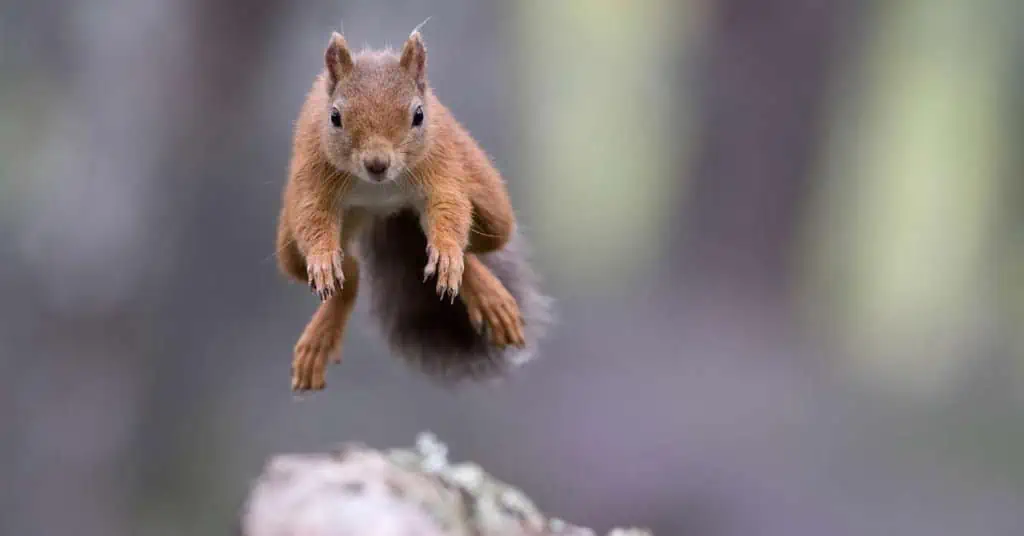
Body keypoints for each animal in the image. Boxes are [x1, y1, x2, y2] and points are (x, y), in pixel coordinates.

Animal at [275, 28, 551, 392]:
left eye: (418, 115)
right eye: (334, 117)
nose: (377, 163)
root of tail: (384, 211)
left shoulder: (438, 164)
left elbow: (450, 205)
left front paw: (447, 253)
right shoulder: (314, 172)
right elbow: (313, 216)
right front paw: (321, 259)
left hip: (492, 206)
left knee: (476, 242)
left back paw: (482, 288)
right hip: (290, 249)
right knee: (347, 273)